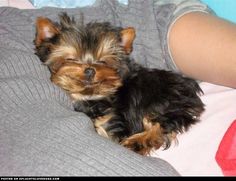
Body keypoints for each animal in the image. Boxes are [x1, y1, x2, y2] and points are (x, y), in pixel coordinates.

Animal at [34, 12, 205, 156]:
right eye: (71, 59)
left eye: (103, 61)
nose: (90, 70)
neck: (89, 97)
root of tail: (190, 87)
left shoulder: (111, 120)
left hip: (163, 101)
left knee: (161, 125)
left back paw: (137, 143)